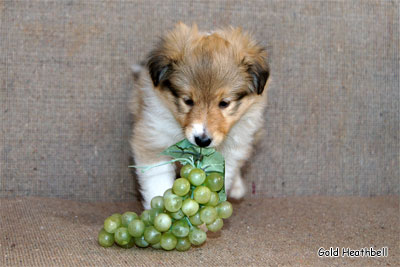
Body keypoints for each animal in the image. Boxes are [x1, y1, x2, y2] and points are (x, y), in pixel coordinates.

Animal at [130, 22, 270, 209]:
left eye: (224, 103)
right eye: (188, 101)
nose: (202, 141)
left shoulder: (231, 149)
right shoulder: (153, 137)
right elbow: (157, 182)